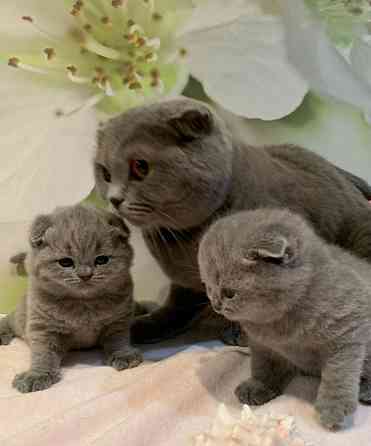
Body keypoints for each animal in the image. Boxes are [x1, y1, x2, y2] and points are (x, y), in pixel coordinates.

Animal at [0, 204, 142, 392]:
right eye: (65, 262)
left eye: (102, 260)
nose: (85, 275)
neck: (83, 304)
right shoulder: (43, 327)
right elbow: (43, 353)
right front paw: (37, 375)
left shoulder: (118, 321)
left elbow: (118, 339)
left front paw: (123, 355)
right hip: (21, 317)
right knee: (8, 320)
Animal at [199, 207, 371, 430]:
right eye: (208, 288)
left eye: (229, 293)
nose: (216, 305)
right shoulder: (263, 346)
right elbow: (264, 367)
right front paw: (258, 386)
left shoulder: (349, 326)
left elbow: (338, 372)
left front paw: (333, 407)